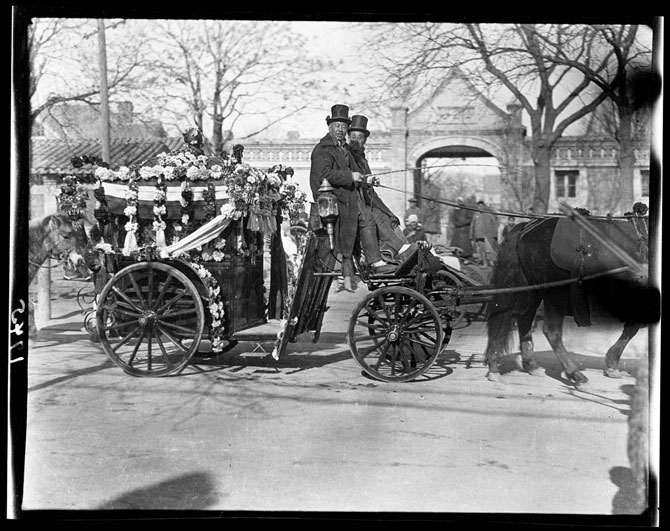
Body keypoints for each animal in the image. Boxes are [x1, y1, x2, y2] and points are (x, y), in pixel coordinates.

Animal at [486, 210, 660, 388]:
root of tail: (527, 227)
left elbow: (632, 328)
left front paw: (612, 364)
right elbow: (632, 328)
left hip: (532, 289)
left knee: (522, 318)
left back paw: (527, 365)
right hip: (555, 291)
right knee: (549, 330)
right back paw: (576, 375)